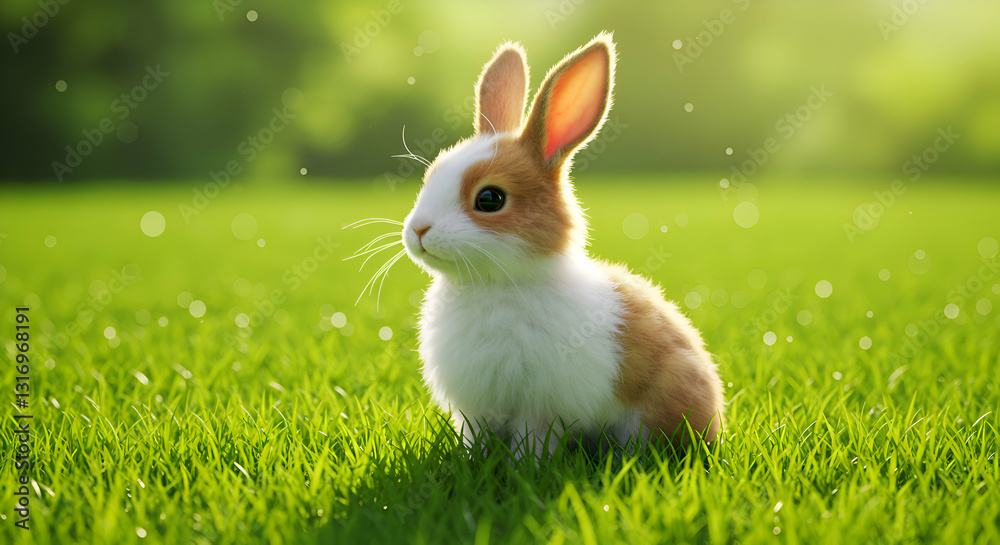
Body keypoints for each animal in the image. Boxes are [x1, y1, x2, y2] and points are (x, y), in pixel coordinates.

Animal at [400, 32, 724, 457]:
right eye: (431, 176)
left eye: (490, 199)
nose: (418, 230)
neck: (491, 284)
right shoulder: (476, 410)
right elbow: (475, 437)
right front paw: (471, 459)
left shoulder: (538, 407)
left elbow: (533, 440)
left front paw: (525, 466)